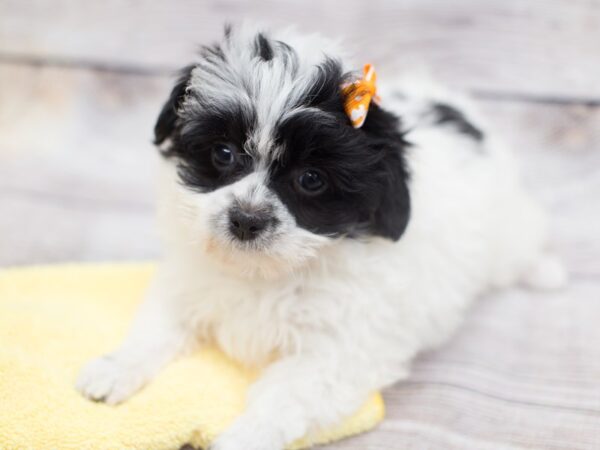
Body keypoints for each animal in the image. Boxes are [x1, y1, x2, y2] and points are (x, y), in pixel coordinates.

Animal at [77, 23, 564, 450]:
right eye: (223, 153)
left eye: (311, 179)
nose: (246, 220)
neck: (265, 271)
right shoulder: (189, 281)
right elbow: (157, 326)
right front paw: (115, 369)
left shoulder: (340, 350)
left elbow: (286, 396)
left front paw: (242, 438)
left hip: (511, 231)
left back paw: (546, 272)